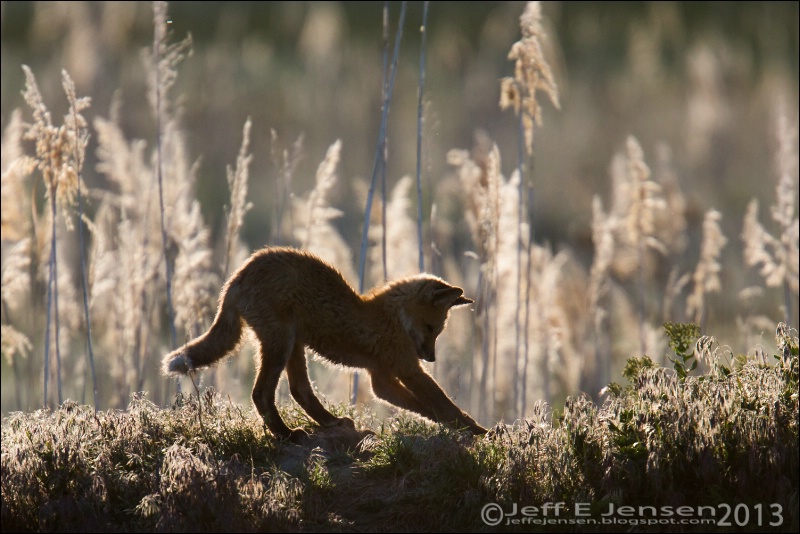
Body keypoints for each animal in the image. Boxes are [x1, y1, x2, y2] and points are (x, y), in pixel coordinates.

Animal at [161, 247, 488, 444]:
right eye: (432, 329)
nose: (431, 359)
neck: (391, 317)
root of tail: (239, 275)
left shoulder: (381, 378)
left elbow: (425, 406)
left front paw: (459, 428)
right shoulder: (406, 369)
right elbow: (441, 404)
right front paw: (475, 430)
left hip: (294, 345)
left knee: (299, 390)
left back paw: (329, 423)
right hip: (281, 344)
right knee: (261, 394)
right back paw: (286, 435)